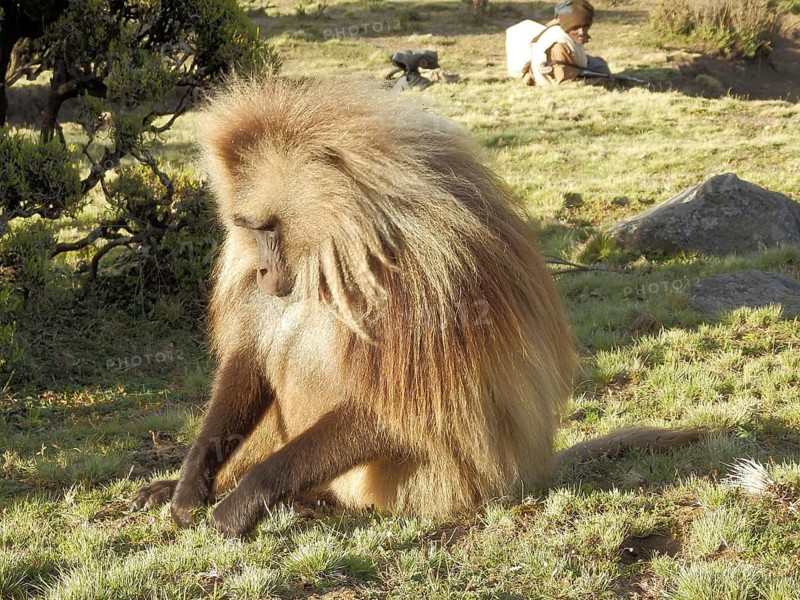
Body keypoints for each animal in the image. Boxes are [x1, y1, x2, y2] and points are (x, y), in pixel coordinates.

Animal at [131, 76, 703, 537]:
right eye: (248, 229)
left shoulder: (421, 278)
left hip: (430, 485)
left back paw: (303, 500)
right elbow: (249, 359)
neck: (345, 245)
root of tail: (523, 472)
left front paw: (245, 500)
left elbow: (401, 409)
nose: (265, 276)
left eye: (268, 229)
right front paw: (190, 485)